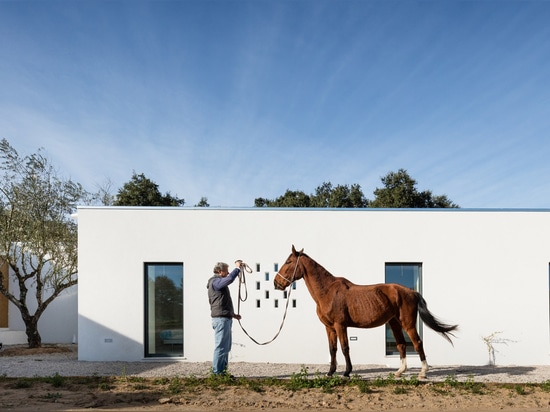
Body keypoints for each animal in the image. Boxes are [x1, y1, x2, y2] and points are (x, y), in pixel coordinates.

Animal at [274, 246, 460, 378]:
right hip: (394, 323)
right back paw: (399, 372)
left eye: (288, 262)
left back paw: (422, 372)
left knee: (417, 343)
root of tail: (412, 292)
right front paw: (330, 372)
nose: (276, 283)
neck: (327, 291)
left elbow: (345, 347)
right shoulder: (329, 327)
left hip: (408, 323)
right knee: (401, 344)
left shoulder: (340, 325)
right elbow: (332, 349)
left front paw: (347, 372)